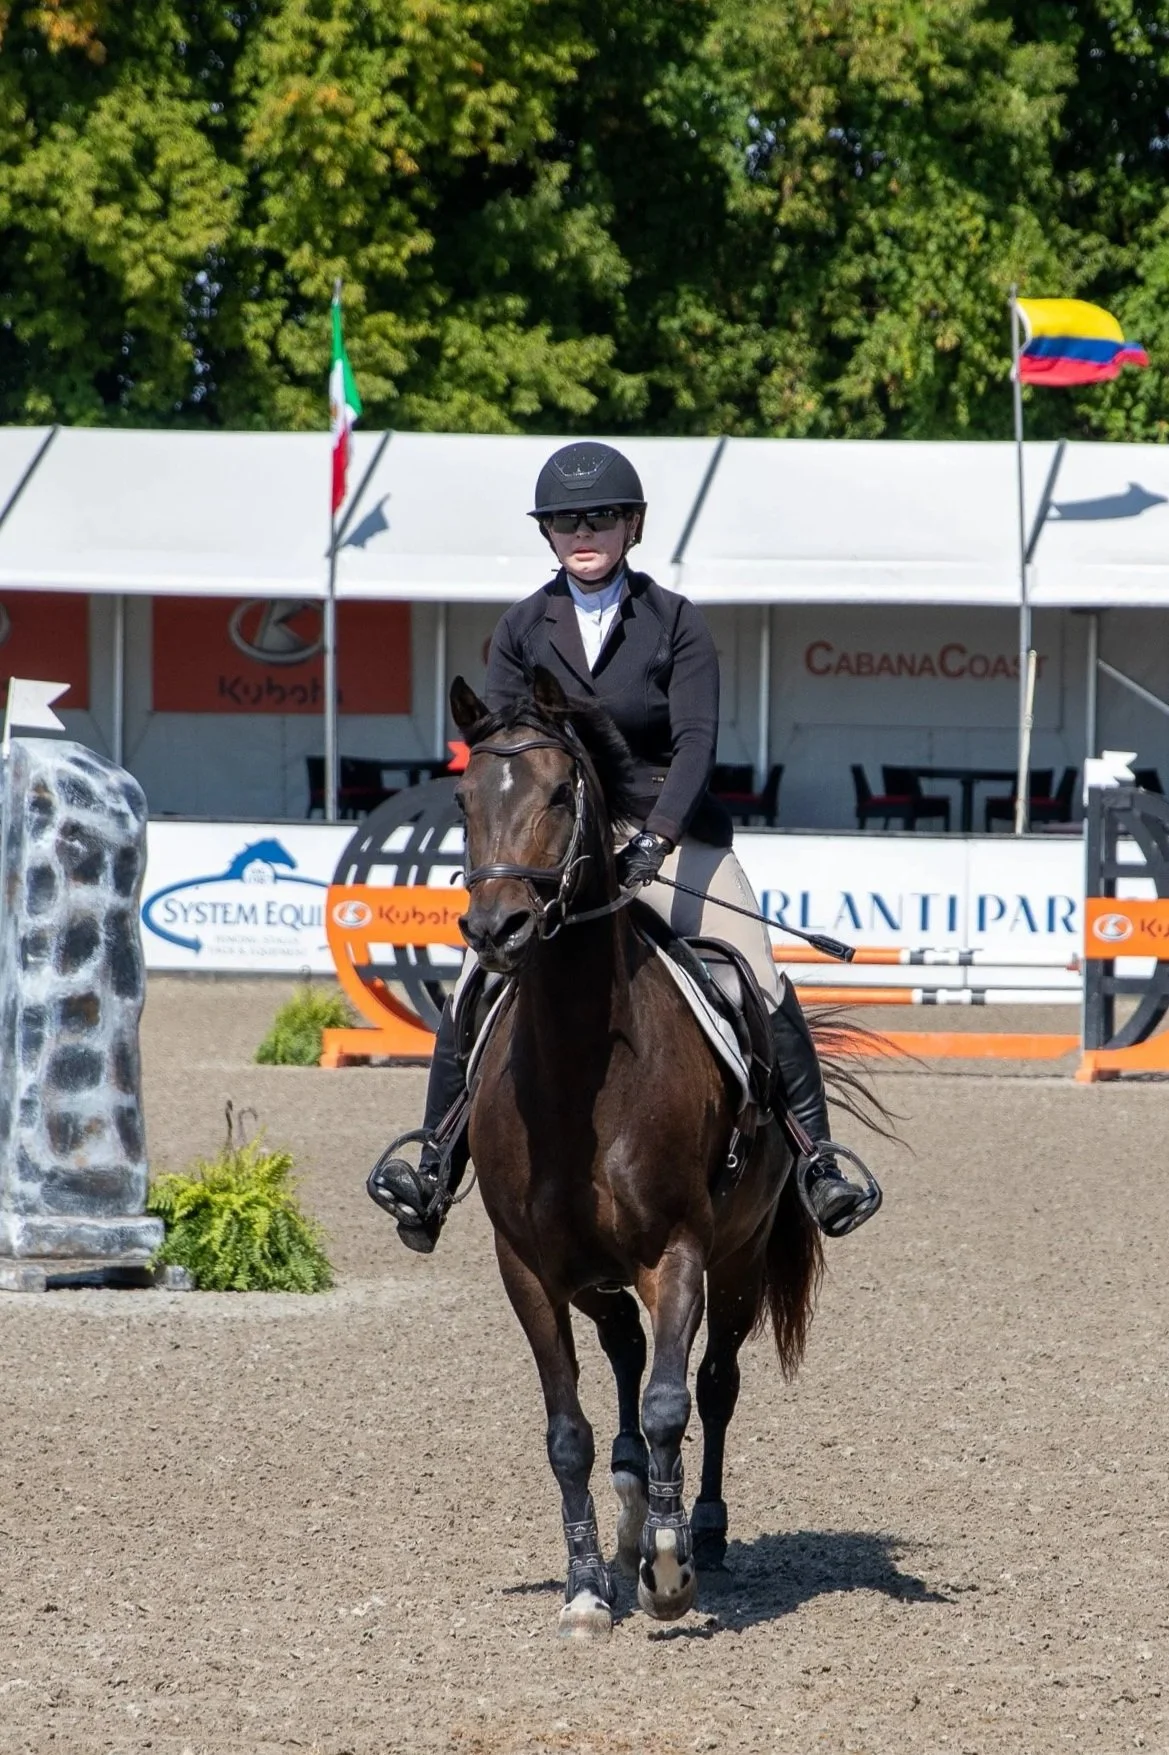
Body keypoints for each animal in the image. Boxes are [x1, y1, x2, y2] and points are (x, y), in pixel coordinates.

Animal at [448, 667, 857, 1639]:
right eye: (462, 796)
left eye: (562, 793)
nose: (496, 930)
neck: (576, 1068)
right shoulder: (528, 1268)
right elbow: (570, 1431)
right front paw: (588, 1587)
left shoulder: (680, 1250)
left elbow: (676, 1399)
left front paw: (669, 1574)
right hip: (596, 1277)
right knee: (628, 1357)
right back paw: (634, 1507)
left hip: (737, 1260)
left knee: (712, 1382)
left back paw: (696, 1528)